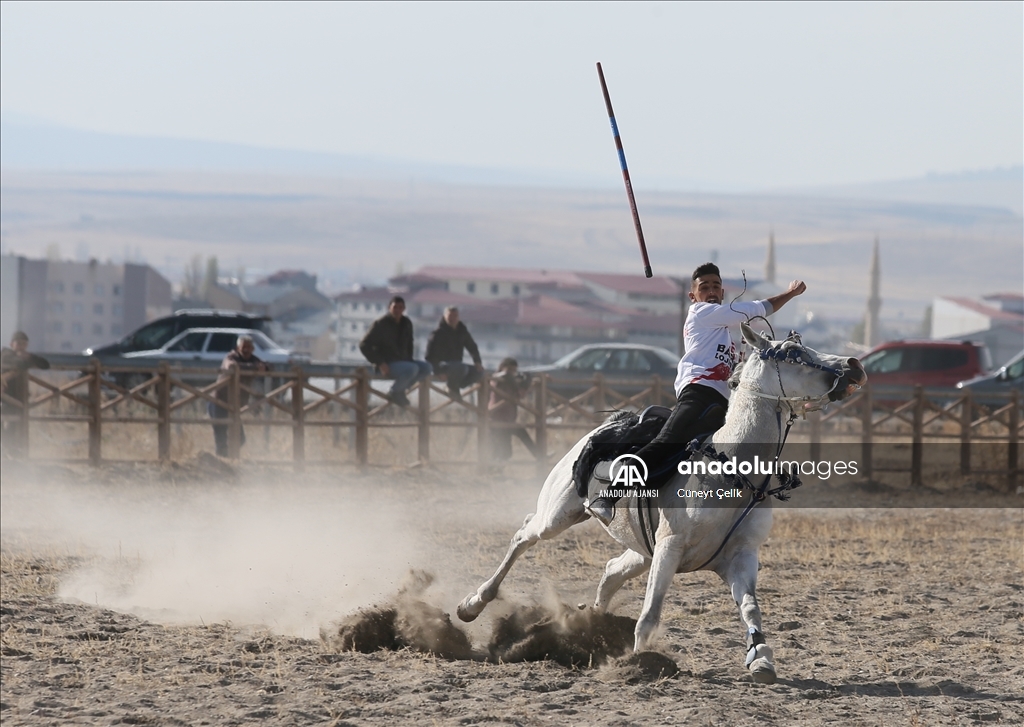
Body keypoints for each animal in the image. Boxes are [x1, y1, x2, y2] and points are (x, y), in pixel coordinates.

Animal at [460, 325, 868, 683]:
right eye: (793, 353)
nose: (854, 365)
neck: (729, 469)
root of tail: (610, 424)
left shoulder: (741, 556)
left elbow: (751, 607)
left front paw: (761, 659)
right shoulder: (670, 547)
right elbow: (651, 612)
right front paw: (639, 662)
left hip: (641, 550)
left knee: (610, 572)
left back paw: (586, 625)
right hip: (558, 516)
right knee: (524, 535)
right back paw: (473, 603)